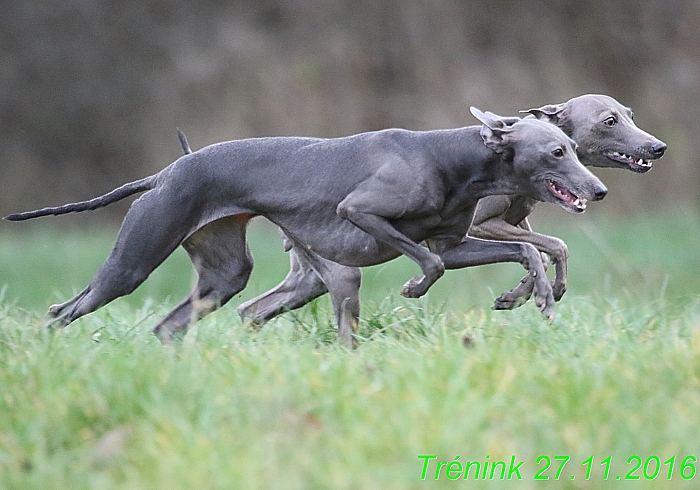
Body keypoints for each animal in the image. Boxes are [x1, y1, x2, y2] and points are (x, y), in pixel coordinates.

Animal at [5, 108, 608, 344]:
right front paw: (416, 287)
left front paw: (532, 294)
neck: (451, 156)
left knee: (169, 326)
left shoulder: (456, 241)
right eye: (556, 151)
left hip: (225, 276)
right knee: (65, 311)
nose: (599, 191)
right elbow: (432, 263)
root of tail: (166, 172)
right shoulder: (358, 213)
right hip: (133, 261)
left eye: (573, 146)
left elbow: (527, 251)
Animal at [238, 94, 664, 328]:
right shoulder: (485, 225)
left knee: (252, 309)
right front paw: (530, 294)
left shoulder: (510, 226)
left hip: (310, 276)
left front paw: (524, 294)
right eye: (609, 121)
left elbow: (542, 252)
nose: (657, 147)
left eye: (630, 115)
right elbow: (551, 247)